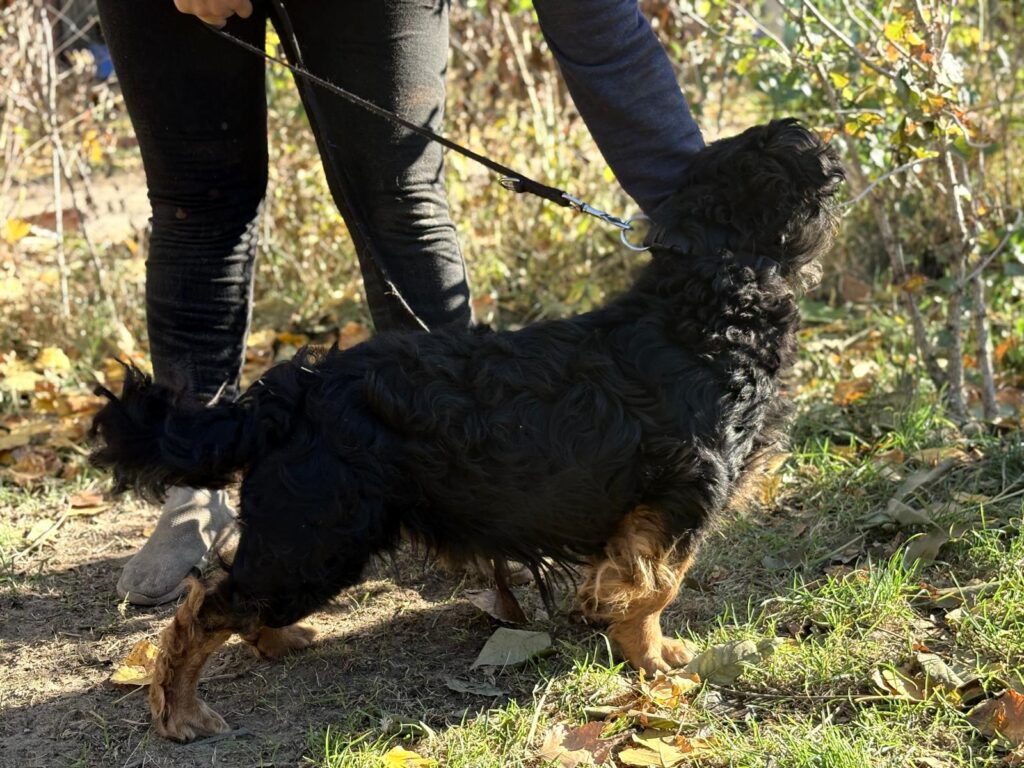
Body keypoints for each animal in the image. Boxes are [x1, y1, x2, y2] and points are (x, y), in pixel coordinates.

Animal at [91, 118, 844, 742]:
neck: (705, 308)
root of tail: (296, 390)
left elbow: (636, 588)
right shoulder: (675, 503)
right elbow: (653, 592)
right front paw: (658, 666)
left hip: (305, 539)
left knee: (233, 600)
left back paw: (277, 641)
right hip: (317, 541)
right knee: (206, 608)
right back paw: (181, 712)